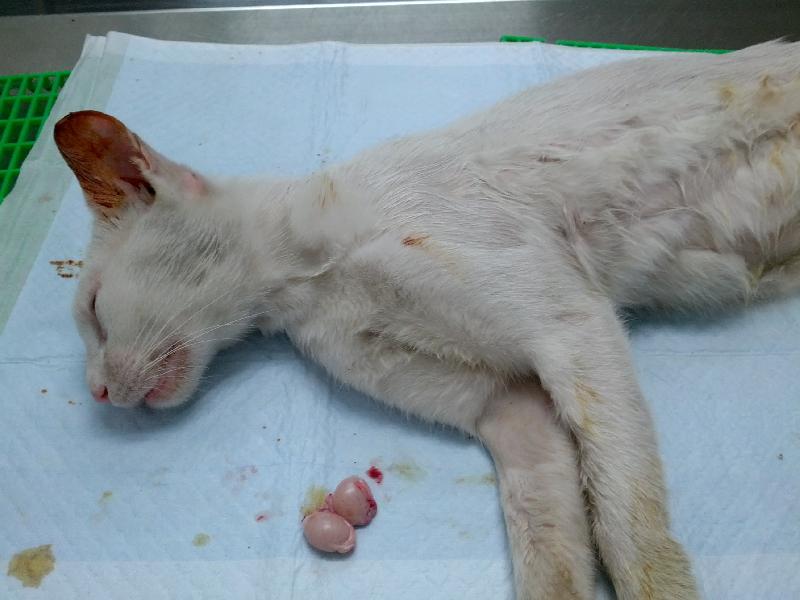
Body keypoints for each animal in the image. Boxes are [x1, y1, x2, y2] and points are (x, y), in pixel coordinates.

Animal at [54, 40, 800, 600]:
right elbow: (549, 539)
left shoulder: (570, 322)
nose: (96, 391)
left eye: (92, 310)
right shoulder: (508, 403)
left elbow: (627, 523)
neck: (307, 281)